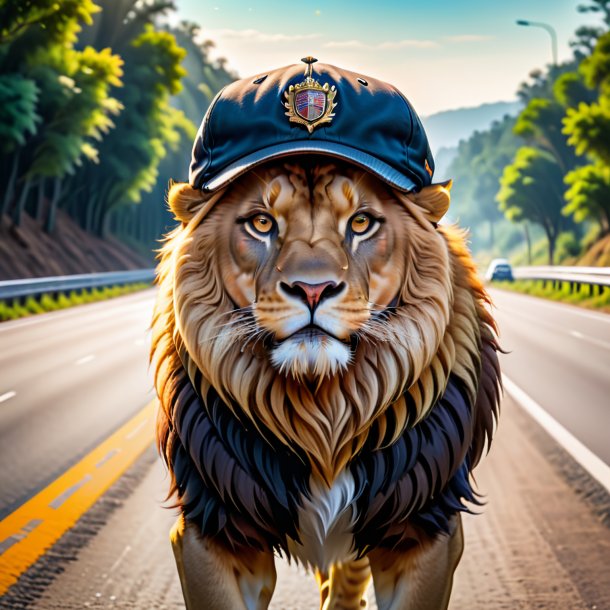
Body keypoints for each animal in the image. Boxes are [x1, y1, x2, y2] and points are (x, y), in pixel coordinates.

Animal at [152, 158, 498, 608]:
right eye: (262, 223)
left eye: (362, 222)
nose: (312, 289)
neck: (323, 410)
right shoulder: (212, 526)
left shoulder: (424, 529)